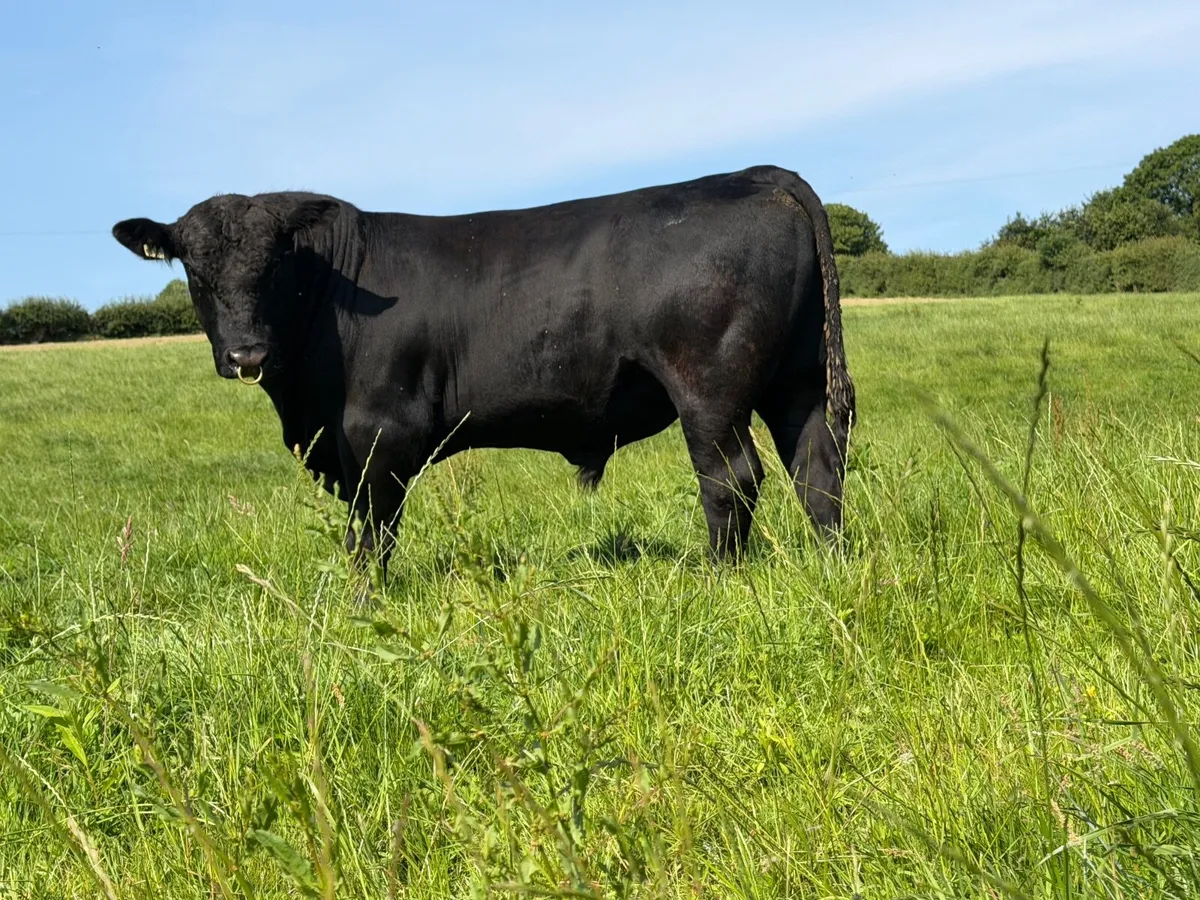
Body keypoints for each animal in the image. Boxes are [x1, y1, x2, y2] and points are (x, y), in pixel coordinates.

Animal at [112, 165, 855, 575]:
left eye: (271, 266)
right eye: (196, 272)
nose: (247, 355)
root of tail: (755, 175)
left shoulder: (378, 430)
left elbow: (372, 527)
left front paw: (365, 603)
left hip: (708, 386)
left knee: (732, 477)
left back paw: (716, 575)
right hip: (796, 380)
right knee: (816, 468)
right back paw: (832, 563)